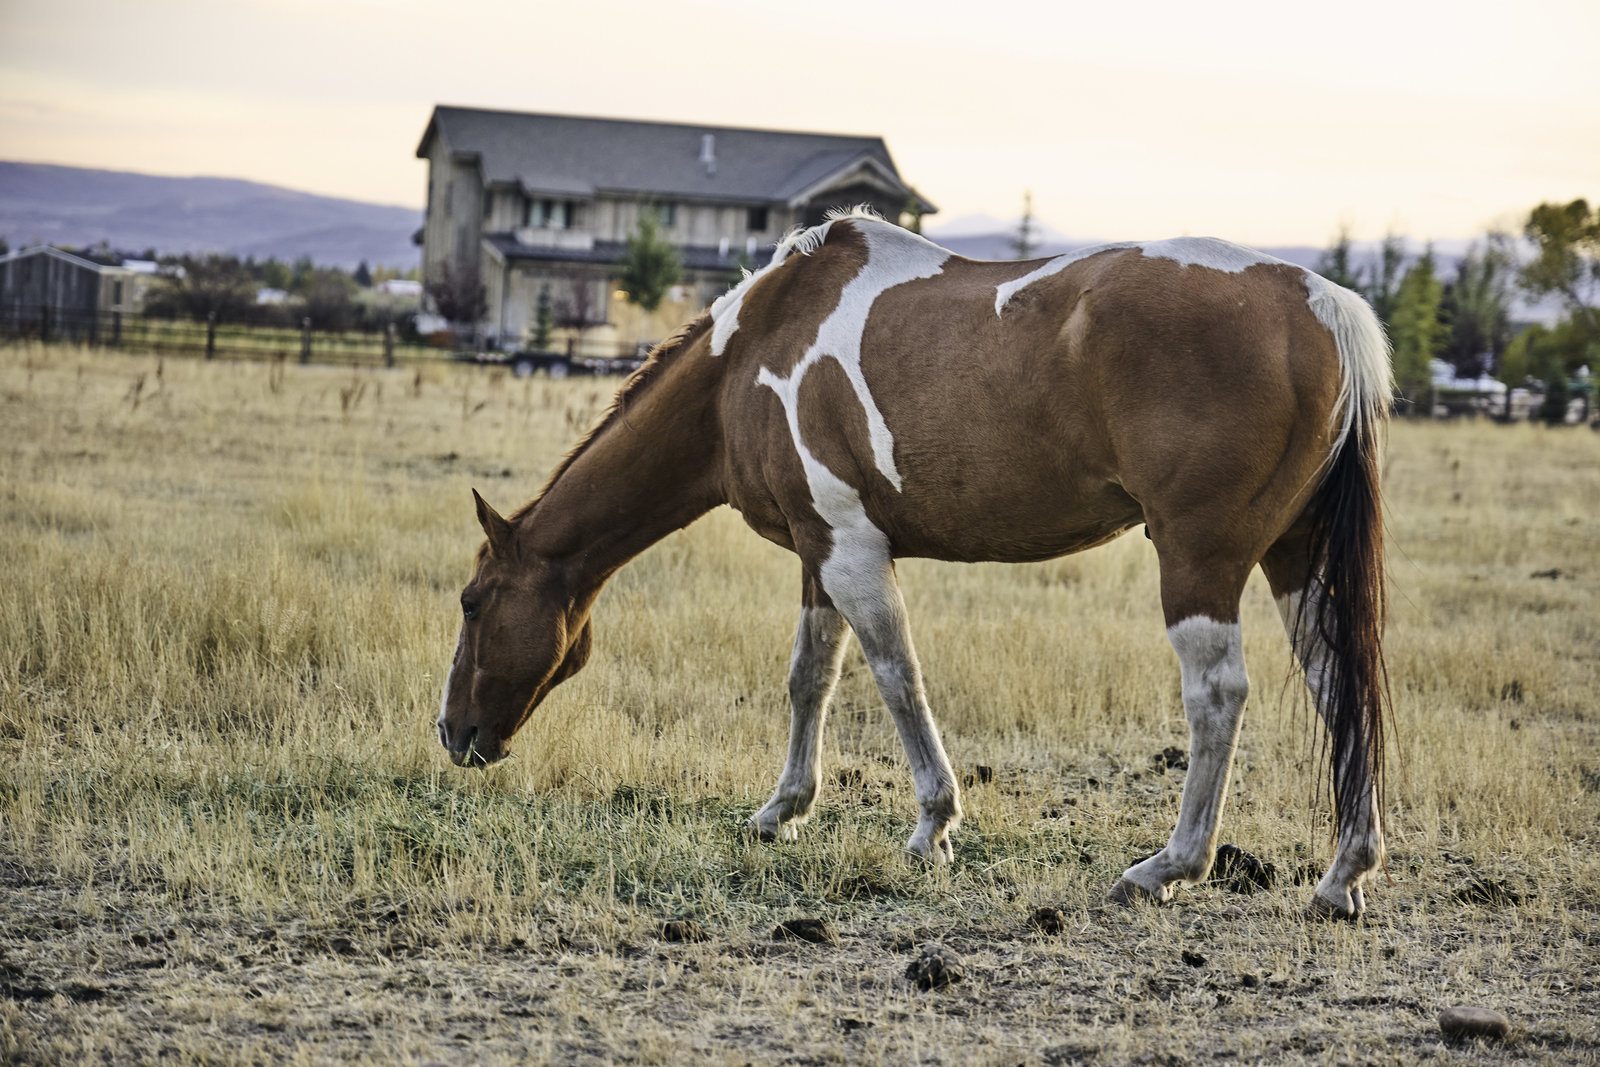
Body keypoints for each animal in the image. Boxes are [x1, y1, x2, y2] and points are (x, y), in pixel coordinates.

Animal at [438, 208, 1393, 918]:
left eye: (473, 602)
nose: (454, 733)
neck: (750, 355)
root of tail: (1316, 299)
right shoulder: (819, 552)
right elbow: (811, 678)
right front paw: (782, 809)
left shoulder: (852, 552)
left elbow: (897, 677)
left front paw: (933, 823)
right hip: (1295, 558)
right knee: (1336, 682)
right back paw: (1342, 876)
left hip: (1201, 560)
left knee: (1218, 694)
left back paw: (1168, 865)